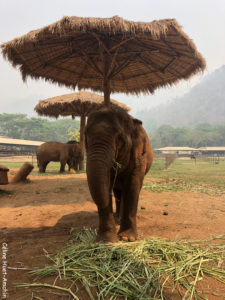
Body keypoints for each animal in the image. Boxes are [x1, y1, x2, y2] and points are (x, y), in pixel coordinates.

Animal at [85, 108, 154, 244]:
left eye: (120, 137)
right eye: (86, 135)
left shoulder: (139, 157)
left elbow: (133, 186)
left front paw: (127, 238)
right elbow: (107, 185)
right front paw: (106, 241)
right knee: (117, 192)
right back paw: (117, 218)